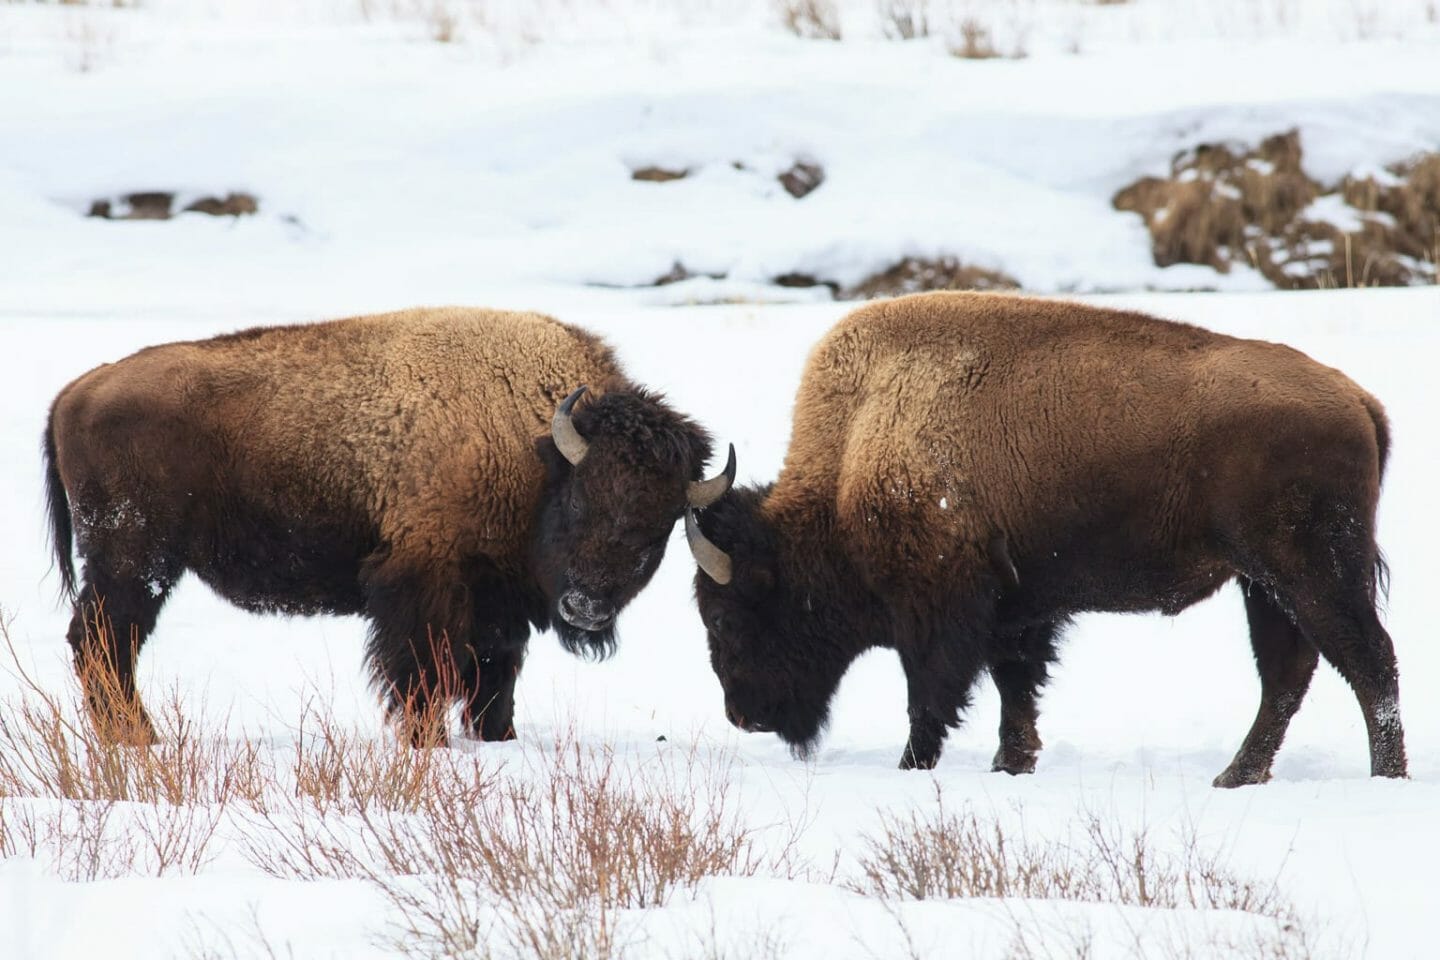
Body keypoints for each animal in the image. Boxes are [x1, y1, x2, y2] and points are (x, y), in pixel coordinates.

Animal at [45, 306, 731, 742]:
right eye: (582, 502)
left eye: (659, 529)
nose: (587, 607)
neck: (533, 446)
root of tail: (76, 391)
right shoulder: (424, 581)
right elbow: (424, 672)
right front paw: (426, 744)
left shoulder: (499, 604)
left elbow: (494, 681)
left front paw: (498, 739)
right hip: (135, 561)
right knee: (104, 643)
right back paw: (139, 739)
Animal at [685, 293, 1405, 788]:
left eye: (724, 620)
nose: (743, 715)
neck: (856, 447)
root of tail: (1360, 400)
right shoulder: (1017, 609)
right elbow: (1015, 686)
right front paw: (1013, 762)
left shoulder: (940, 611)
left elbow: (932, 696)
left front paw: (914, 766)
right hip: (1265, 583)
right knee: (1289, 673)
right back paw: (1235, 777)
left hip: (1309, 573)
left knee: (1368, 661)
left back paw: (1383, 776)